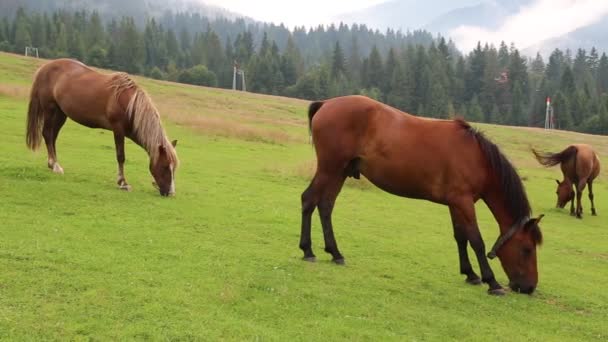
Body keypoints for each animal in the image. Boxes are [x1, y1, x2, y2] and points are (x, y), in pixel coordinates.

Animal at [26, 58, 178, 195]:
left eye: (174, 168)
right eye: (165, 167)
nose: (170, 193)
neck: (128, 103)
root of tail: (45, 67)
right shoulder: (118, 129)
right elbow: (121, 156)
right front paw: (123, 183)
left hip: (61, 114)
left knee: (53, 137)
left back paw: (53, 164)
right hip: (50, 110)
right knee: (47, 134)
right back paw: (55, 165)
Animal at [302, 95, 544, 294]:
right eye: (527, 249)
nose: (529, 288)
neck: (478, 158)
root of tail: (326, 103)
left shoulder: (455, 204)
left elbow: (461, 237)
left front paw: (470, 274)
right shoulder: (463, 202)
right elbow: (476, 240)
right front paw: (491, 282)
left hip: (340, 171)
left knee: (325, 205)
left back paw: (335, 253)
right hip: (329, 169)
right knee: (308, 200)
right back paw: (308, 251)